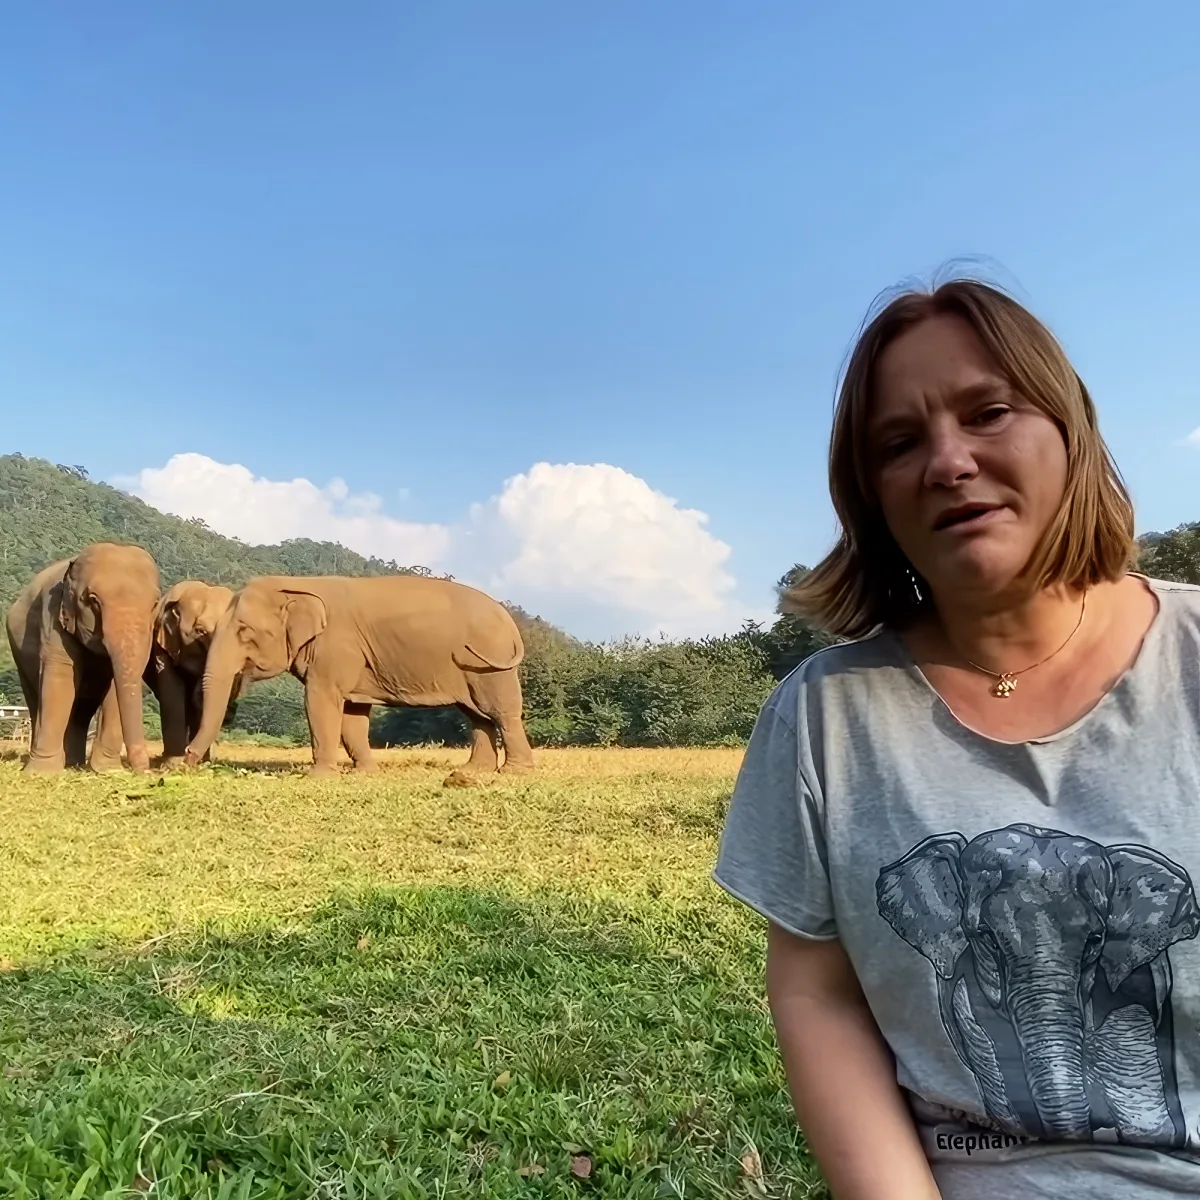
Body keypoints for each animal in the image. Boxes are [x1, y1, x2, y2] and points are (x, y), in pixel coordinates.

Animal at [4, 542, 160, 773]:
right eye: (93, 601)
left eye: (155, 604)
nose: (147, 772)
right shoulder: (53, 616)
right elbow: (59, 679)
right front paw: (42, 773)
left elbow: (115, 688)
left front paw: (107, 770)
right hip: (20, 657)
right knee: (35, 701)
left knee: (81, 711)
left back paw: (73, 763)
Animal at [183, 574, 535, 779]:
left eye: (245, 631)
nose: (186, 758)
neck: (298, 586)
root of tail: (509, 620)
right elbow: (353, 713)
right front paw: (364, 773)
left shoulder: (335, 648)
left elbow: (321, 701)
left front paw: (319, 778)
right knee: (477, 715)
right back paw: (475, 770)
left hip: (489, 664)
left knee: (500, 712)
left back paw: (514, 773)